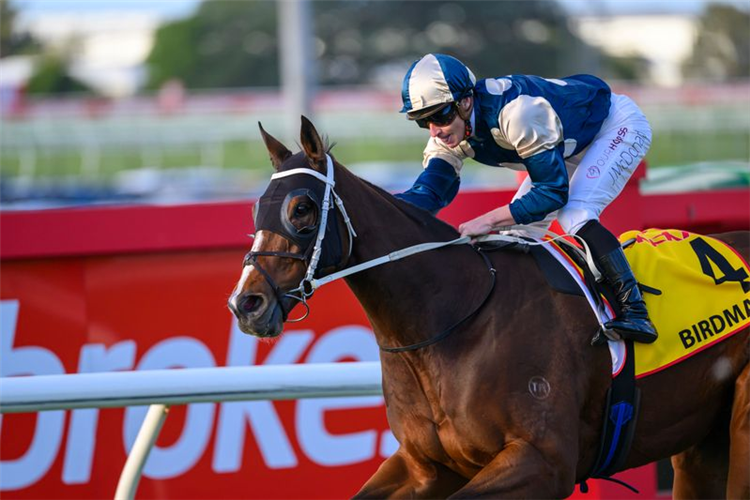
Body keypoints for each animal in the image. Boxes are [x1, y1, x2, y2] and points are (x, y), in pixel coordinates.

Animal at [228, 117, 750, 499]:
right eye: (256, 207)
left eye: (301, 209)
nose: (246, 304)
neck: (451, 323)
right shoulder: (424, 466)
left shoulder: (543, 460)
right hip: (699, 446)